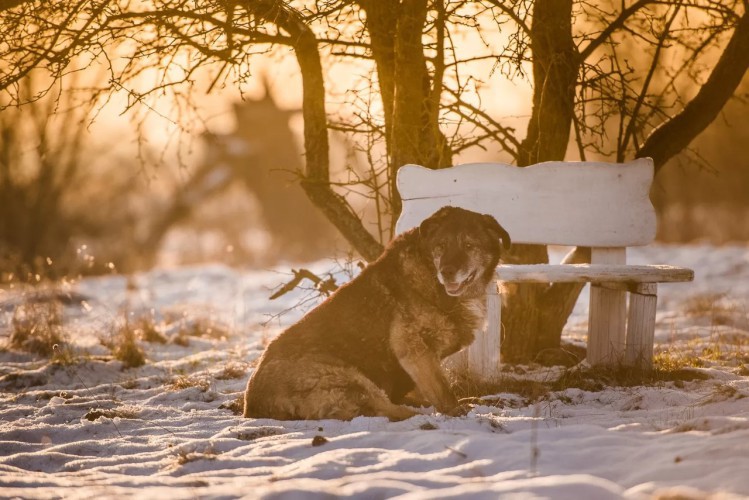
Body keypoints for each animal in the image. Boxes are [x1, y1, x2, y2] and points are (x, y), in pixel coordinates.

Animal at [243, 207, 512, 422]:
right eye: (441, 246)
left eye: (469, 246)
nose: (446, 271)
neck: (429, 271)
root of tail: (252, 403)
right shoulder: (414, 349)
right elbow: (442, 390)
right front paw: (455, 411)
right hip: (350, 379)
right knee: (387, 410)